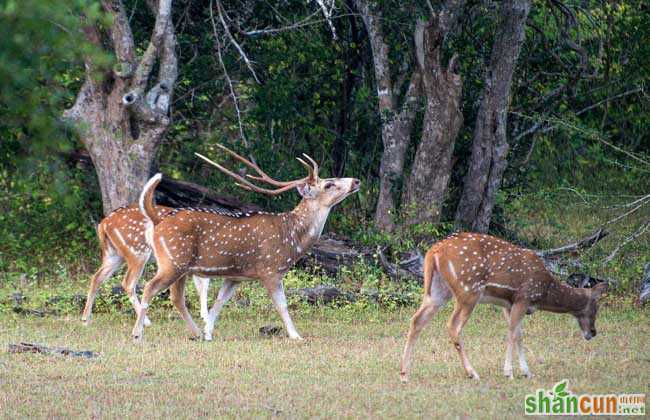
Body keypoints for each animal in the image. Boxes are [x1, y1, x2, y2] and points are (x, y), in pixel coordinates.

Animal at [79, 205, 209, 326]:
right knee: (128, 282)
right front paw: (206, 317)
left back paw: (85, 320)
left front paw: (204, 315)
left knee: (96, 277)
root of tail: (103, 224)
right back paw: (146, 321)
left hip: (113, 254)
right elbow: (204, 284)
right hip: (138, 252)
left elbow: (201, 285)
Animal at [132, 145, 362, 342]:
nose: (356, 181)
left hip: (181, 267)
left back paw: (195, 333)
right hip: (173, 261)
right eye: (329, 184)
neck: (293, 239)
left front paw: (208, 333)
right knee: (149, 287)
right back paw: (137, 334)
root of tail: (158, 220)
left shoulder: (235, 276)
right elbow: (282, 305)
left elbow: (219, 302)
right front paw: (296, 335)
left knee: (176, 297)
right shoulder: (270, 270)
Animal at [398, 231, 604, 382]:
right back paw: (472, 373)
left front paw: (527, 372)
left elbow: (519, 334)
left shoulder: (509, 303)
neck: (544, 291)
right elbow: (512, 333)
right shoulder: (523, 297)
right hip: (468, 291)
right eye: (595, 307)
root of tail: (434, 251)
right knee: (452, 326)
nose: (593, 332)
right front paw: (509, 372)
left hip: (437, 291)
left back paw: (404, 374)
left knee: (417, 320)